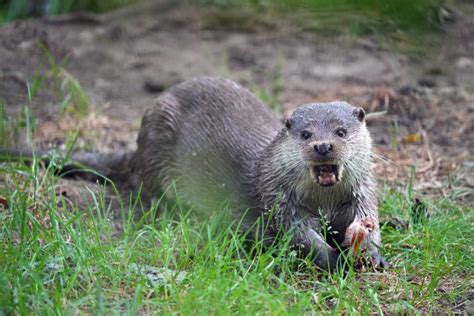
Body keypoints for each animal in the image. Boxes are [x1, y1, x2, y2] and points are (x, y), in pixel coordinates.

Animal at [1, 77, 386, 272]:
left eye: (340, 131)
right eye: (305, 134)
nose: (322, 146)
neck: (323, 201)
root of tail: (136, 149)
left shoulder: (362, 194)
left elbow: (369, 221)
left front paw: (372, 254)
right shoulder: (278, 200)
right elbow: (299, 236)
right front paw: (334, 260)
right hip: (158, 148)